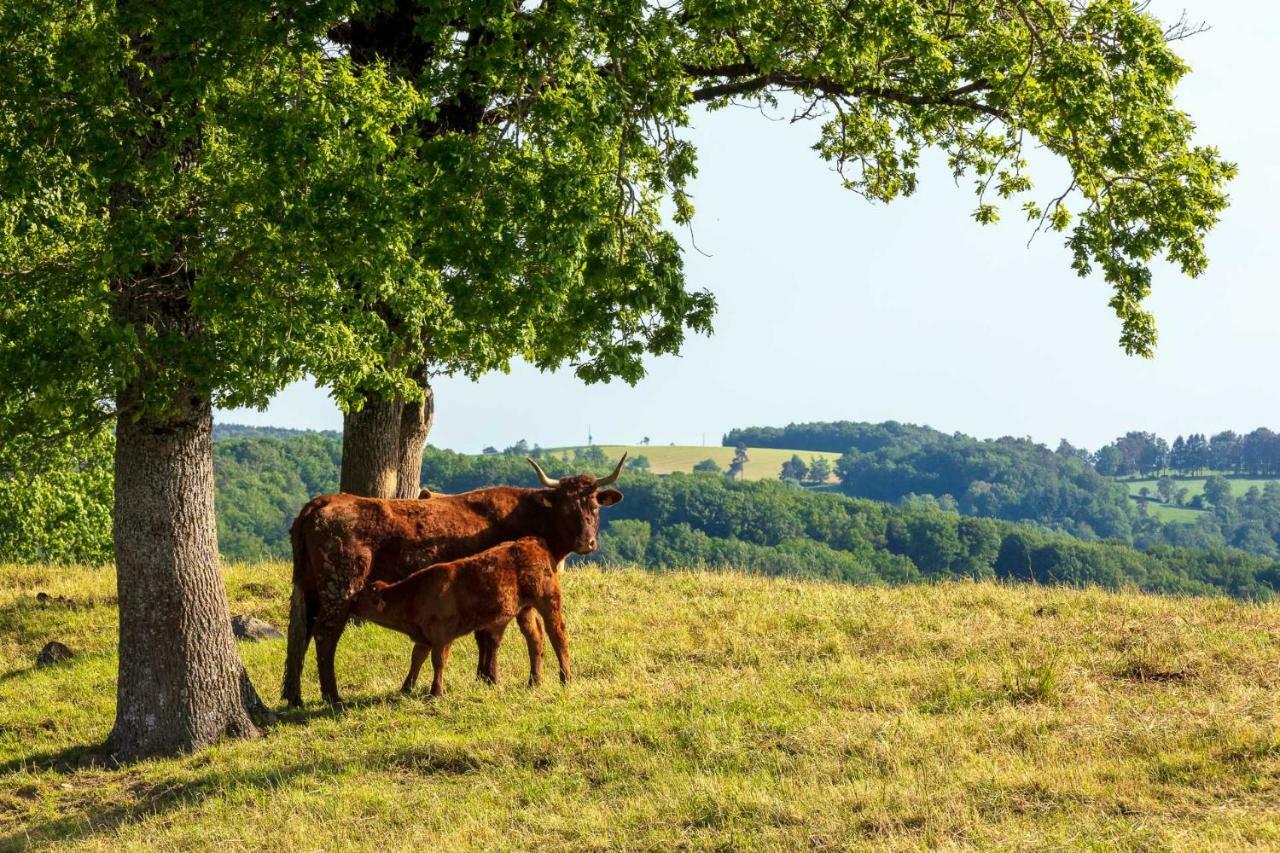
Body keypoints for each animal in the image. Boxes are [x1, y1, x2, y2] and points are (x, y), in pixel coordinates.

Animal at [353, 535, 568, 696]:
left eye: (361, 598)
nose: (351, 604)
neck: (416, 594)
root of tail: (531, 541)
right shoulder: (424, 637)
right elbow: (416, 659)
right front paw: (406, 688)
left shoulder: (442, 635)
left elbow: (438, 661)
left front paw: (435, 692)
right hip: (524, 610)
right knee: (535, 638)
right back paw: (534, 681)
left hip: (548, 602)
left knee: (557, 635)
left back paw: (565, 678)